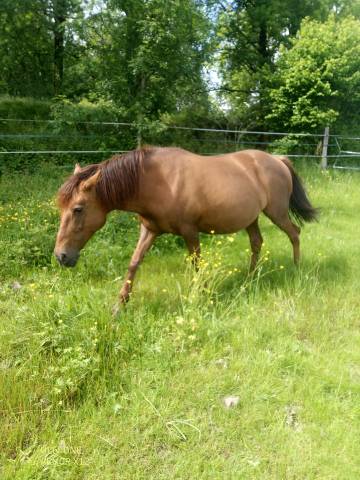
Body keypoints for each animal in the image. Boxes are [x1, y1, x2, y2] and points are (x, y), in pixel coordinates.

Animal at [54, 146, 316, 304]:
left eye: (78, 209)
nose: (61, 256)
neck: (157, 181)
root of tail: (277, 159)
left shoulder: (190, 232)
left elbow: (197, 265)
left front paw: (202, 295)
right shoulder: (150, 230)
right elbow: (134, 263)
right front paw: (120, 305)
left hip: (277, 212)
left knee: (294, 233)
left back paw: (296, 268)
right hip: (251, 218)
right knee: (256, 242)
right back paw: (249, 279)